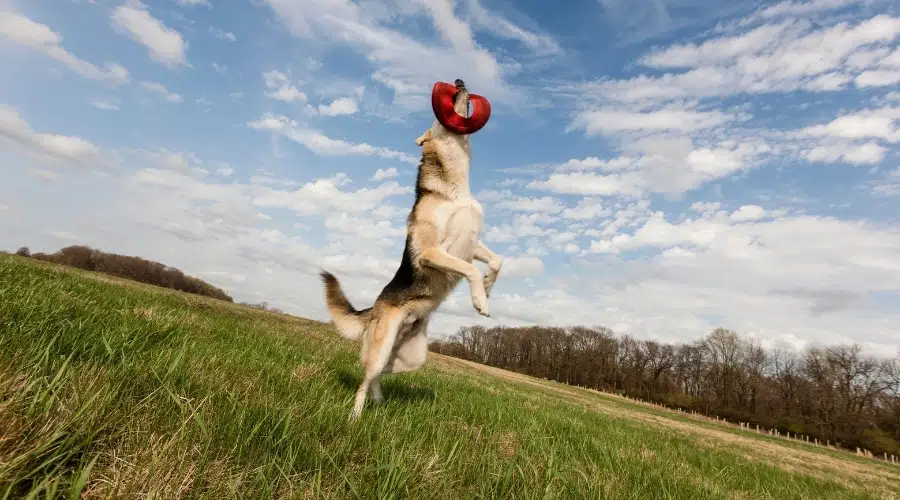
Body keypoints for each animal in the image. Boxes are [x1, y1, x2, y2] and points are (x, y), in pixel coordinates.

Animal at [318, 79, 502, 422]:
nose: (459, 81)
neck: (454, 188)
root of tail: (374, 308)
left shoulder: (471, 245)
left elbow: (497, 261)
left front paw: (487, 287)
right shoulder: (433, 252)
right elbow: (469, 268)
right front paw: (479, 300)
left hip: (411, 358)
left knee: (378, 375)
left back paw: (380, 403)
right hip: (381, 348)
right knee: (365, 377)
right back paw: (355, 417)